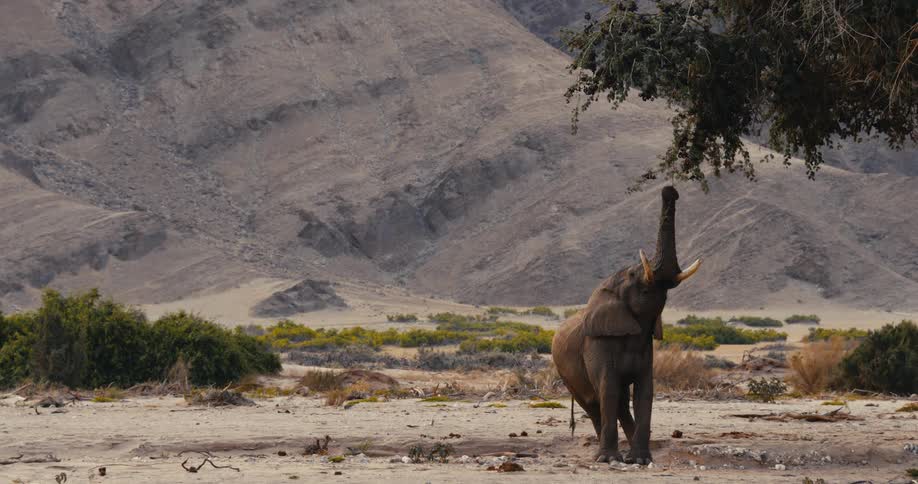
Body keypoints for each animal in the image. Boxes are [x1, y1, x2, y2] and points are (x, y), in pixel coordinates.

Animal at [551, 185, 701, 464]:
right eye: (634, 275)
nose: (670, 191)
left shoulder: (646, 345)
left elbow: (644, 391)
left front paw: (642, 460)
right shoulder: (597, 343)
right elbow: (608, 388)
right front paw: (610, 459)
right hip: (565, 372)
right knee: (595, 404)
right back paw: (603, 455)